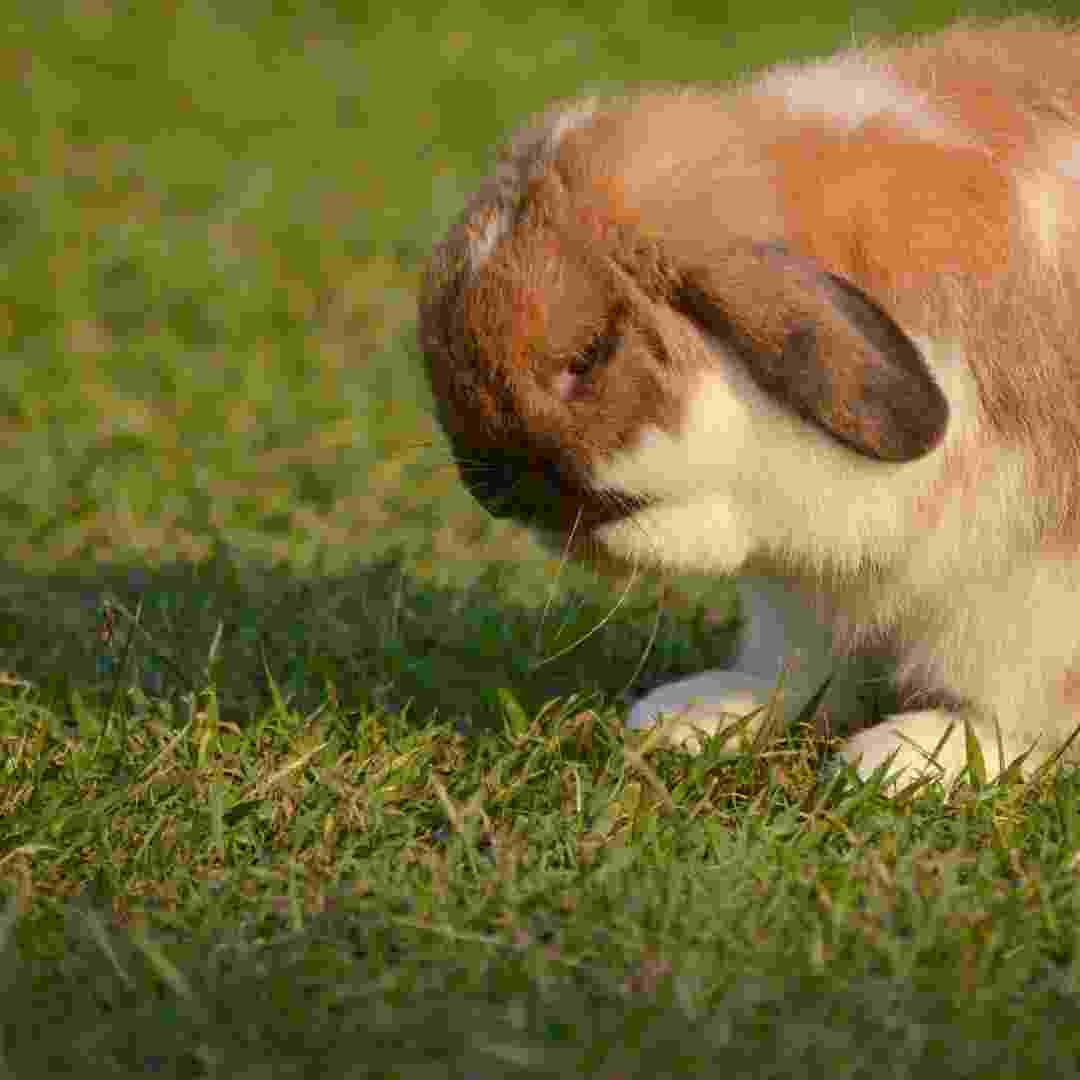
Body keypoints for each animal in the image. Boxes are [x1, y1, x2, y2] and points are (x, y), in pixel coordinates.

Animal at [416, 21, 1080, 790]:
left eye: (589, 354)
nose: (489, 485)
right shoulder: (799, 589)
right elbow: (794, 666)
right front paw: (695, 713)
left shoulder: (1029, 592)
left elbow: (1013, 712)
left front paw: (907, 756)